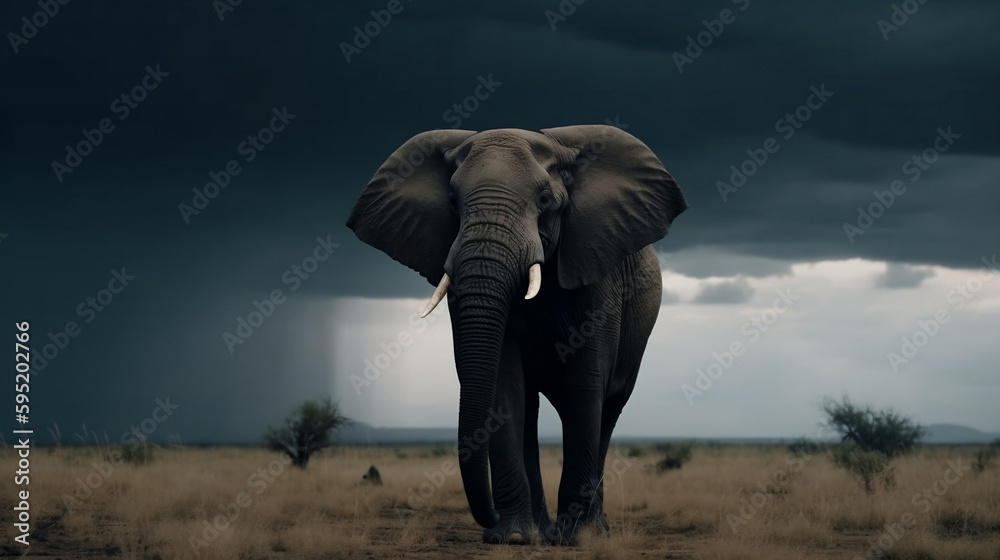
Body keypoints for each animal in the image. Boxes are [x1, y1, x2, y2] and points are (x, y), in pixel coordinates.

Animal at [346, 125, 687, 544]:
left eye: (544, 200)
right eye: (452, 201)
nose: (488, 518)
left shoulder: (596, 269)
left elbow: (586, 383)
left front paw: (574, 539)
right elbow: (503, 384)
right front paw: (513, 538)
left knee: (607, 411)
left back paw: (592, 530)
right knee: (532, 407)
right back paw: (541, 531)